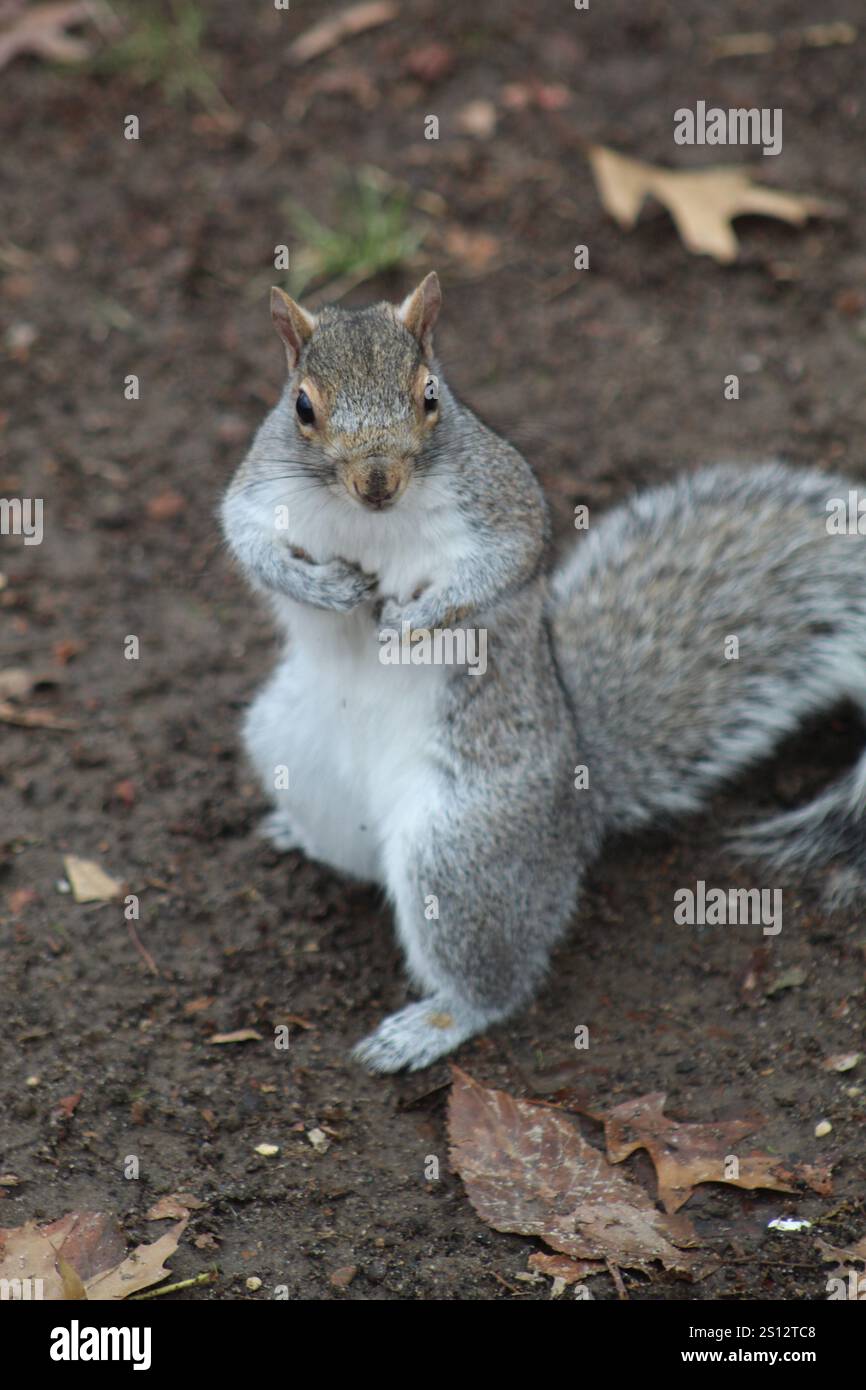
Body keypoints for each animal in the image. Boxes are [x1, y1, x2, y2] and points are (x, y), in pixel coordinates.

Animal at [222, 271, 866, 1072]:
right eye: (302, 407)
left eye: (430, 395)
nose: (377, 482)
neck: (368, 523)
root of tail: (579, 810)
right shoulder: (257, 491)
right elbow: (248, 541)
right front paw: (323, 588)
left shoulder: (502, 504)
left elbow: (501, 566)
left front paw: (413, 620)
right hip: (291, 751)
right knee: (358, 858)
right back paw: (298, 834)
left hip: (462, 852)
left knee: (496, 983)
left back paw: (431, 1024)